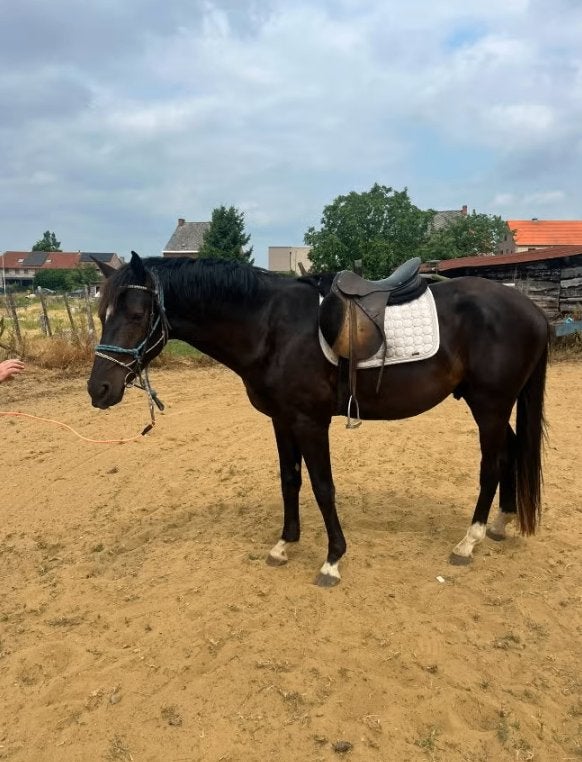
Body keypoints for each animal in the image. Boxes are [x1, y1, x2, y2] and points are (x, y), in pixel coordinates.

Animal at [87, 251, 549, 587]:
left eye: (135, 315)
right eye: (101, 315)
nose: (98, 390)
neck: (271, 326)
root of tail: (531, 308)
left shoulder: (311, 421)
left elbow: (323, 487)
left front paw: (332, 560)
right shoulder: (281, 419)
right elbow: (290, 479)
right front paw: (284, 545)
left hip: (489, 405)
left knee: (491, 465)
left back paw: (468, 542)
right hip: (491, 404)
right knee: (509, 452)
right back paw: (501, 523)